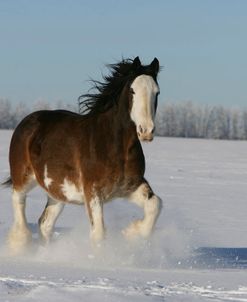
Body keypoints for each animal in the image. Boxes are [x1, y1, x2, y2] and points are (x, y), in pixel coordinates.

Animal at [3, 55, 162, 254]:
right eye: (133, 90)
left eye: (157, 92)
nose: (146, 131)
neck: (116, 146)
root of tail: (26, 122)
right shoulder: (92, 191)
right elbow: (98, 232)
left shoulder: (130, 186)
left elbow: (155, 205)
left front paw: (130, 233)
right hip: (23, 178)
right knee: (19, 204)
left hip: (57, 192)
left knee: (45, 224)